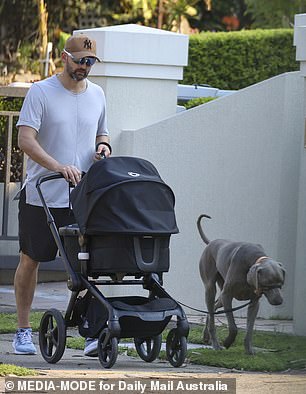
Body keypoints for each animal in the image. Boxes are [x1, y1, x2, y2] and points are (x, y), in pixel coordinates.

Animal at [197, 214, 286, 356]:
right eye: (267, 285)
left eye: (280, 284)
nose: (279, 301)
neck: (254, 258)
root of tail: (211, 242)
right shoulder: (227, 296)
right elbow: (233, 327)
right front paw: (227, 342)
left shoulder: (254, 302)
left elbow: (249, 329)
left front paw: (249, 350)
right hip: (211, 287)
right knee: (211, 309)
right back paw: (216, 344)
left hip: (221, 291)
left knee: (213, 308)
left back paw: (206, 336)